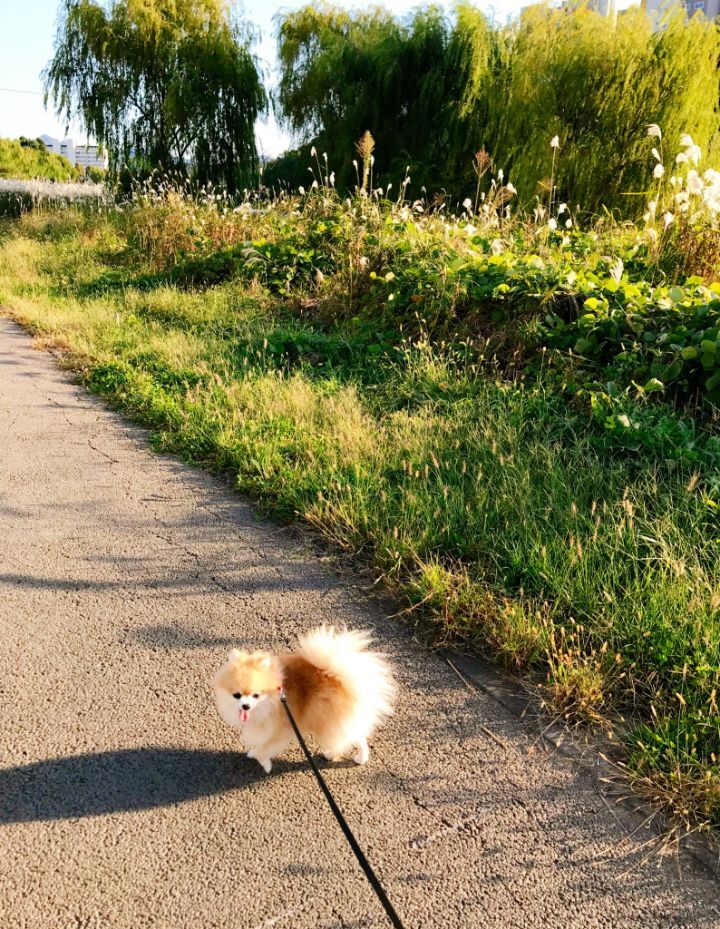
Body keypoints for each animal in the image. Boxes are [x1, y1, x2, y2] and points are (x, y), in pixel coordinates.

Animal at [214, 628, 394, 772]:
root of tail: (338, 676)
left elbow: (265, 749)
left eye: (256, 695)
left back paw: (343, 755)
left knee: (348, 738)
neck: (271, 701)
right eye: (236, 695)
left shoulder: (282, 729)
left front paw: (264, 763)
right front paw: (254, 752)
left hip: (327, 722)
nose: (245, 706)